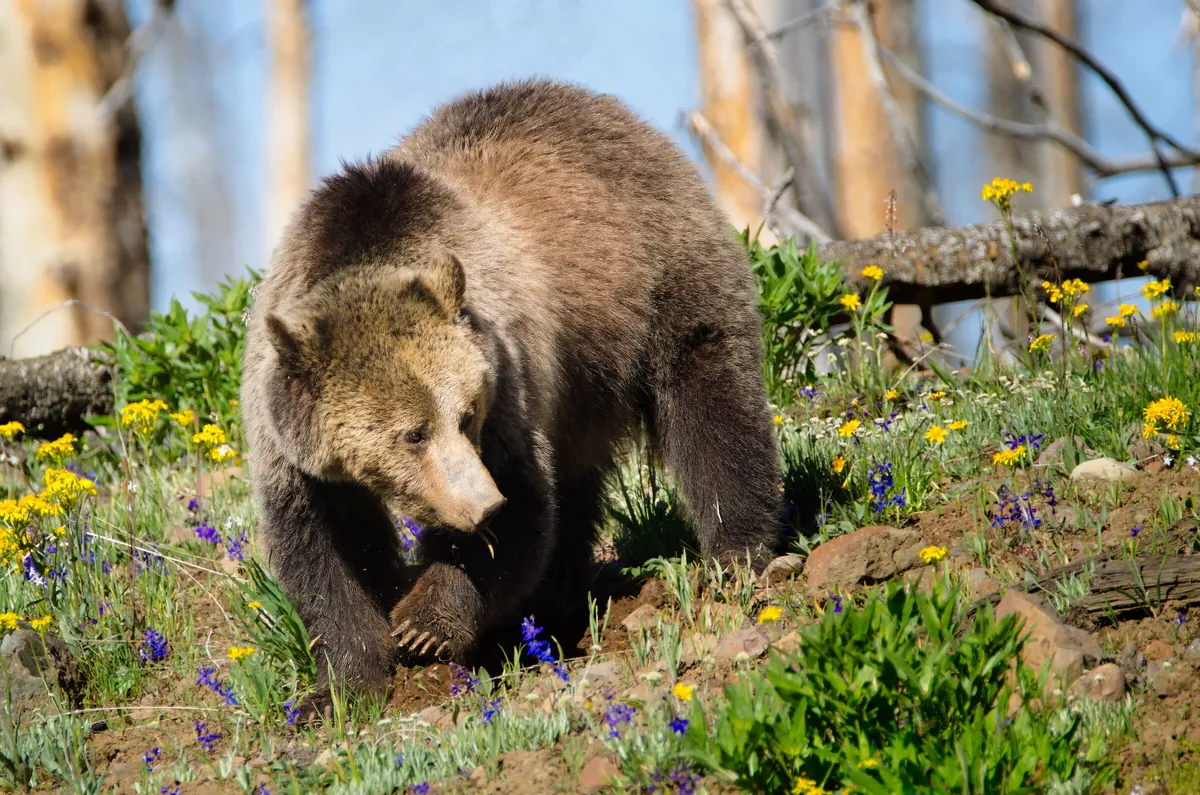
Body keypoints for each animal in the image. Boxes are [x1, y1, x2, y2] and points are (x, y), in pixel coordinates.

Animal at [240, 78, 783, 707]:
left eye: (465, 414)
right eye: (412, 434)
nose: (482, 504)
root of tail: (609, 108)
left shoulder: (506, 376)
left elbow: (522, 511)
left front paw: (425, 624)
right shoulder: (292, 447)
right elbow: (326, 551)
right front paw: (343, 682)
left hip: (658, 275)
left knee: (712, 404)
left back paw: (738, 552)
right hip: (587, 380)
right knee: (578, 485)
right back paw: (561, 593)